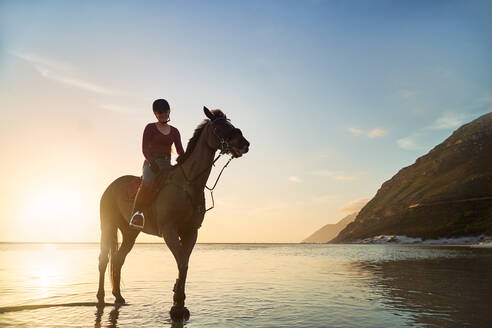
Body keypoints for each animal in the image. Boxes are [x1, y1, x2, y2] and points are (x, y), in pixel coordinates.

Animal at [96, 107, 250, 320]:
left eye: (230, 123)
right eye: (219, 127)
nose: (244, 144)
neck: (188, 184)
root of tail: (111, 186)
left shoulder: (191, 232)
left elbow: (184, 263)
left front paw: (179, 300)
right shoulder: (169, 231)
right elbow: (182, 263)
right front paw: (177, 305)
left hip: (130, 232)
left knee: (118, 259)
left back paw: (119, 297)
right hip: (108, 226)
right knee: (104, 260)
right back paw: (101, 297)